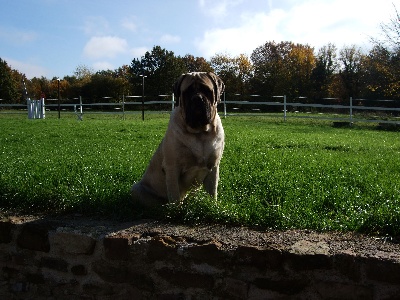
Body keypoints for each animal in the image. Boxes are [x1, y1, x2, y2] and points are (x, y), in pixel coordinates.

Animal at [131, 73, 225, 209]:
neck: (200, 133)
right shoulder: (172, 168)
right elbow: (174, 194)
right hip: (136, 188)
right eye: (187, 92)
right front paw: (176, 210)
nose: (197, 98)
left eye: (207, 90)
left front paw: (213, 207)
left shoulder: (213, 167)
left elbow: (212, 192)